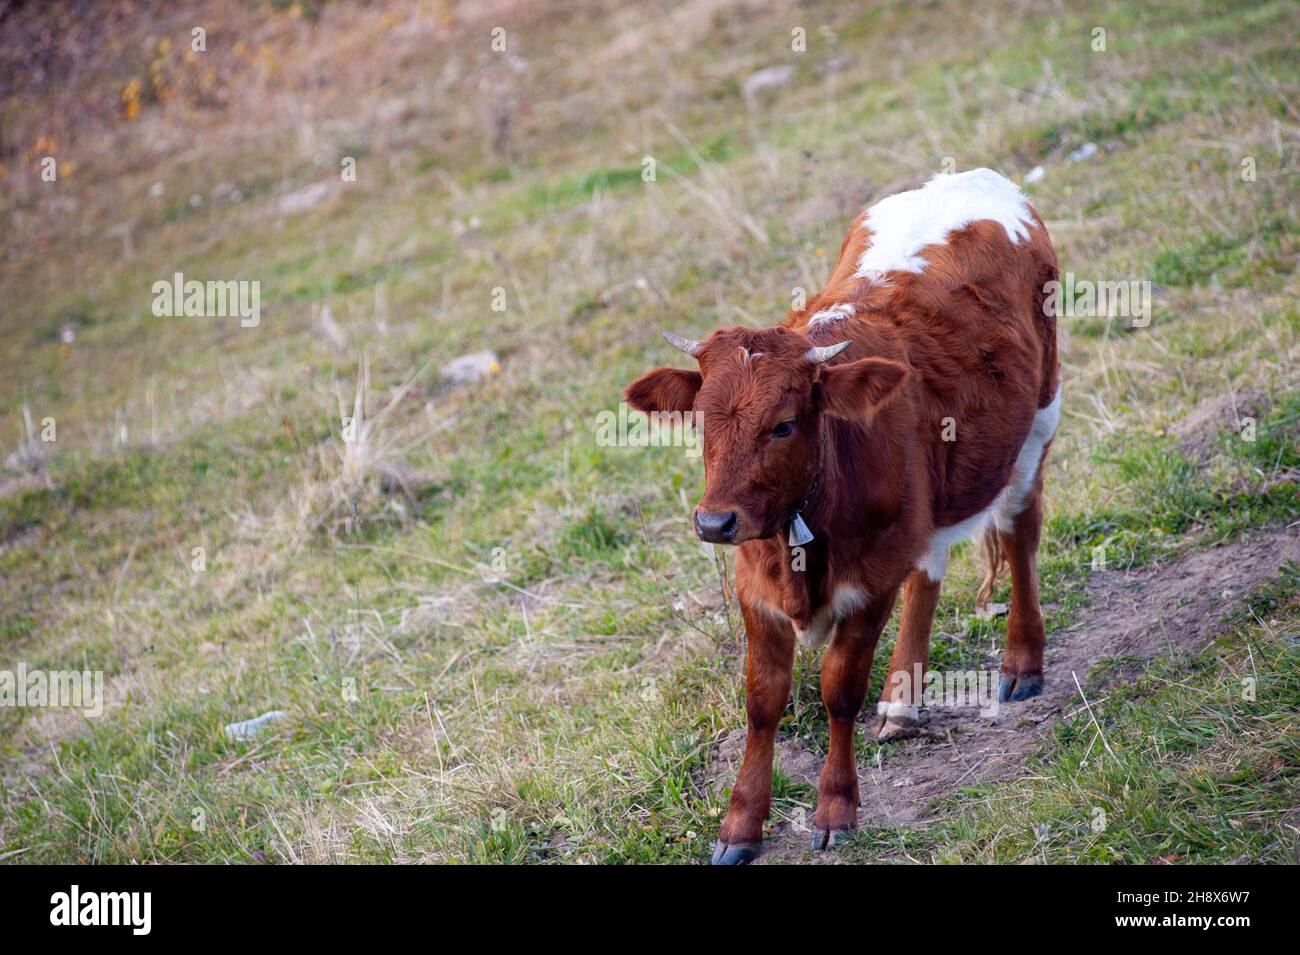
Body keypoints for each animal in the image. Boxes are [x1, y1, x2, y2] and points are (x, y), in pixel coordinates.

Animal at [624, 168, 1061, 864]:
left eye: (783, 424)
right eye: (702, 423)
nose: (714, 524)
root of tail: (969, 178)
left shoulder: (871, 580)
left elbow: (839, 690)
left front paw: (836, 807)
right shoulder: (755, 585)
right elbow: (763, 702)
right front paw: (739, 826)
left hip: (1039, 418)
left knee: (1020, 531)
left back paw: (1023, 663)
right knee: (931, 566)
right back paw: (903, 702)